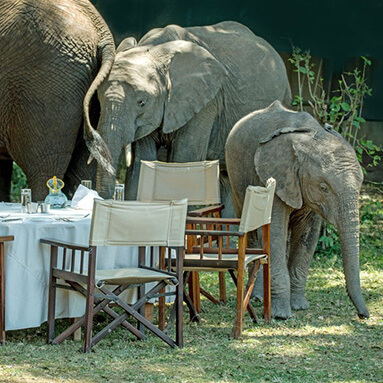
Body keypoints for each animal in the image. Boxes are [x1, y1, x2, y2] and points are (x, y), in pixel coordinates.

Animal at [85, 21, 292, 210]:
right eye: (98, 100)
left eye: (142, 102)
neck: (156, 50)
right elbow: (142, 162)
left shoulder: (206, 102)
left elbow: (184, 161)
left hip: (283, 97)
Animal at [226, 100, 370, 320]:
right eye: (324, 187)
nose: (364, 315)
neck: (310, 135)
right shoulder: (276, 176)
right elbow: (275, 232)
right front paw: (281, 315)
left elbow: (307, 236)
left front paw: (300, 306)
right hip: (235, 176)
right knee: (252, 231)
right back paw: (257, 297)